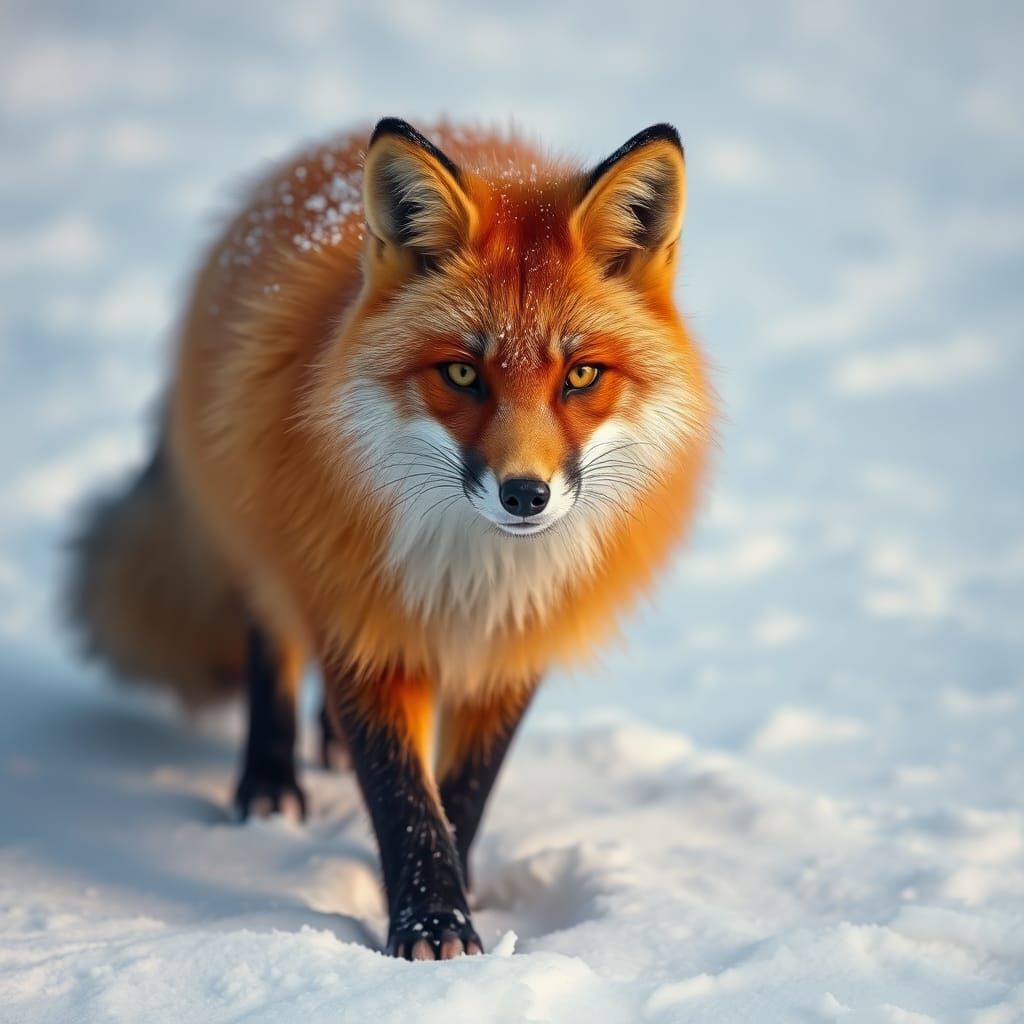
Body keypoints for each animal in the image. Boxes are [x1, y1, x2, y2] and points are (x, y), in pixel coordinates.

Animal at [68, 118, 714, 960]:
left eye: (580, 376)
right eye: (463, 374)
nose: (525, 494)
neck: (473, 574)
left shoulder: (515, 639)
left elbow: (463, 794)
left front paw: (453, 902)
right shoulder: (356, 616)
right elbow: (404, 796)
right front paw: (431, 926)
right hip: (278, 552)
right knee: (272, 647)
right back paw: (268, 785)